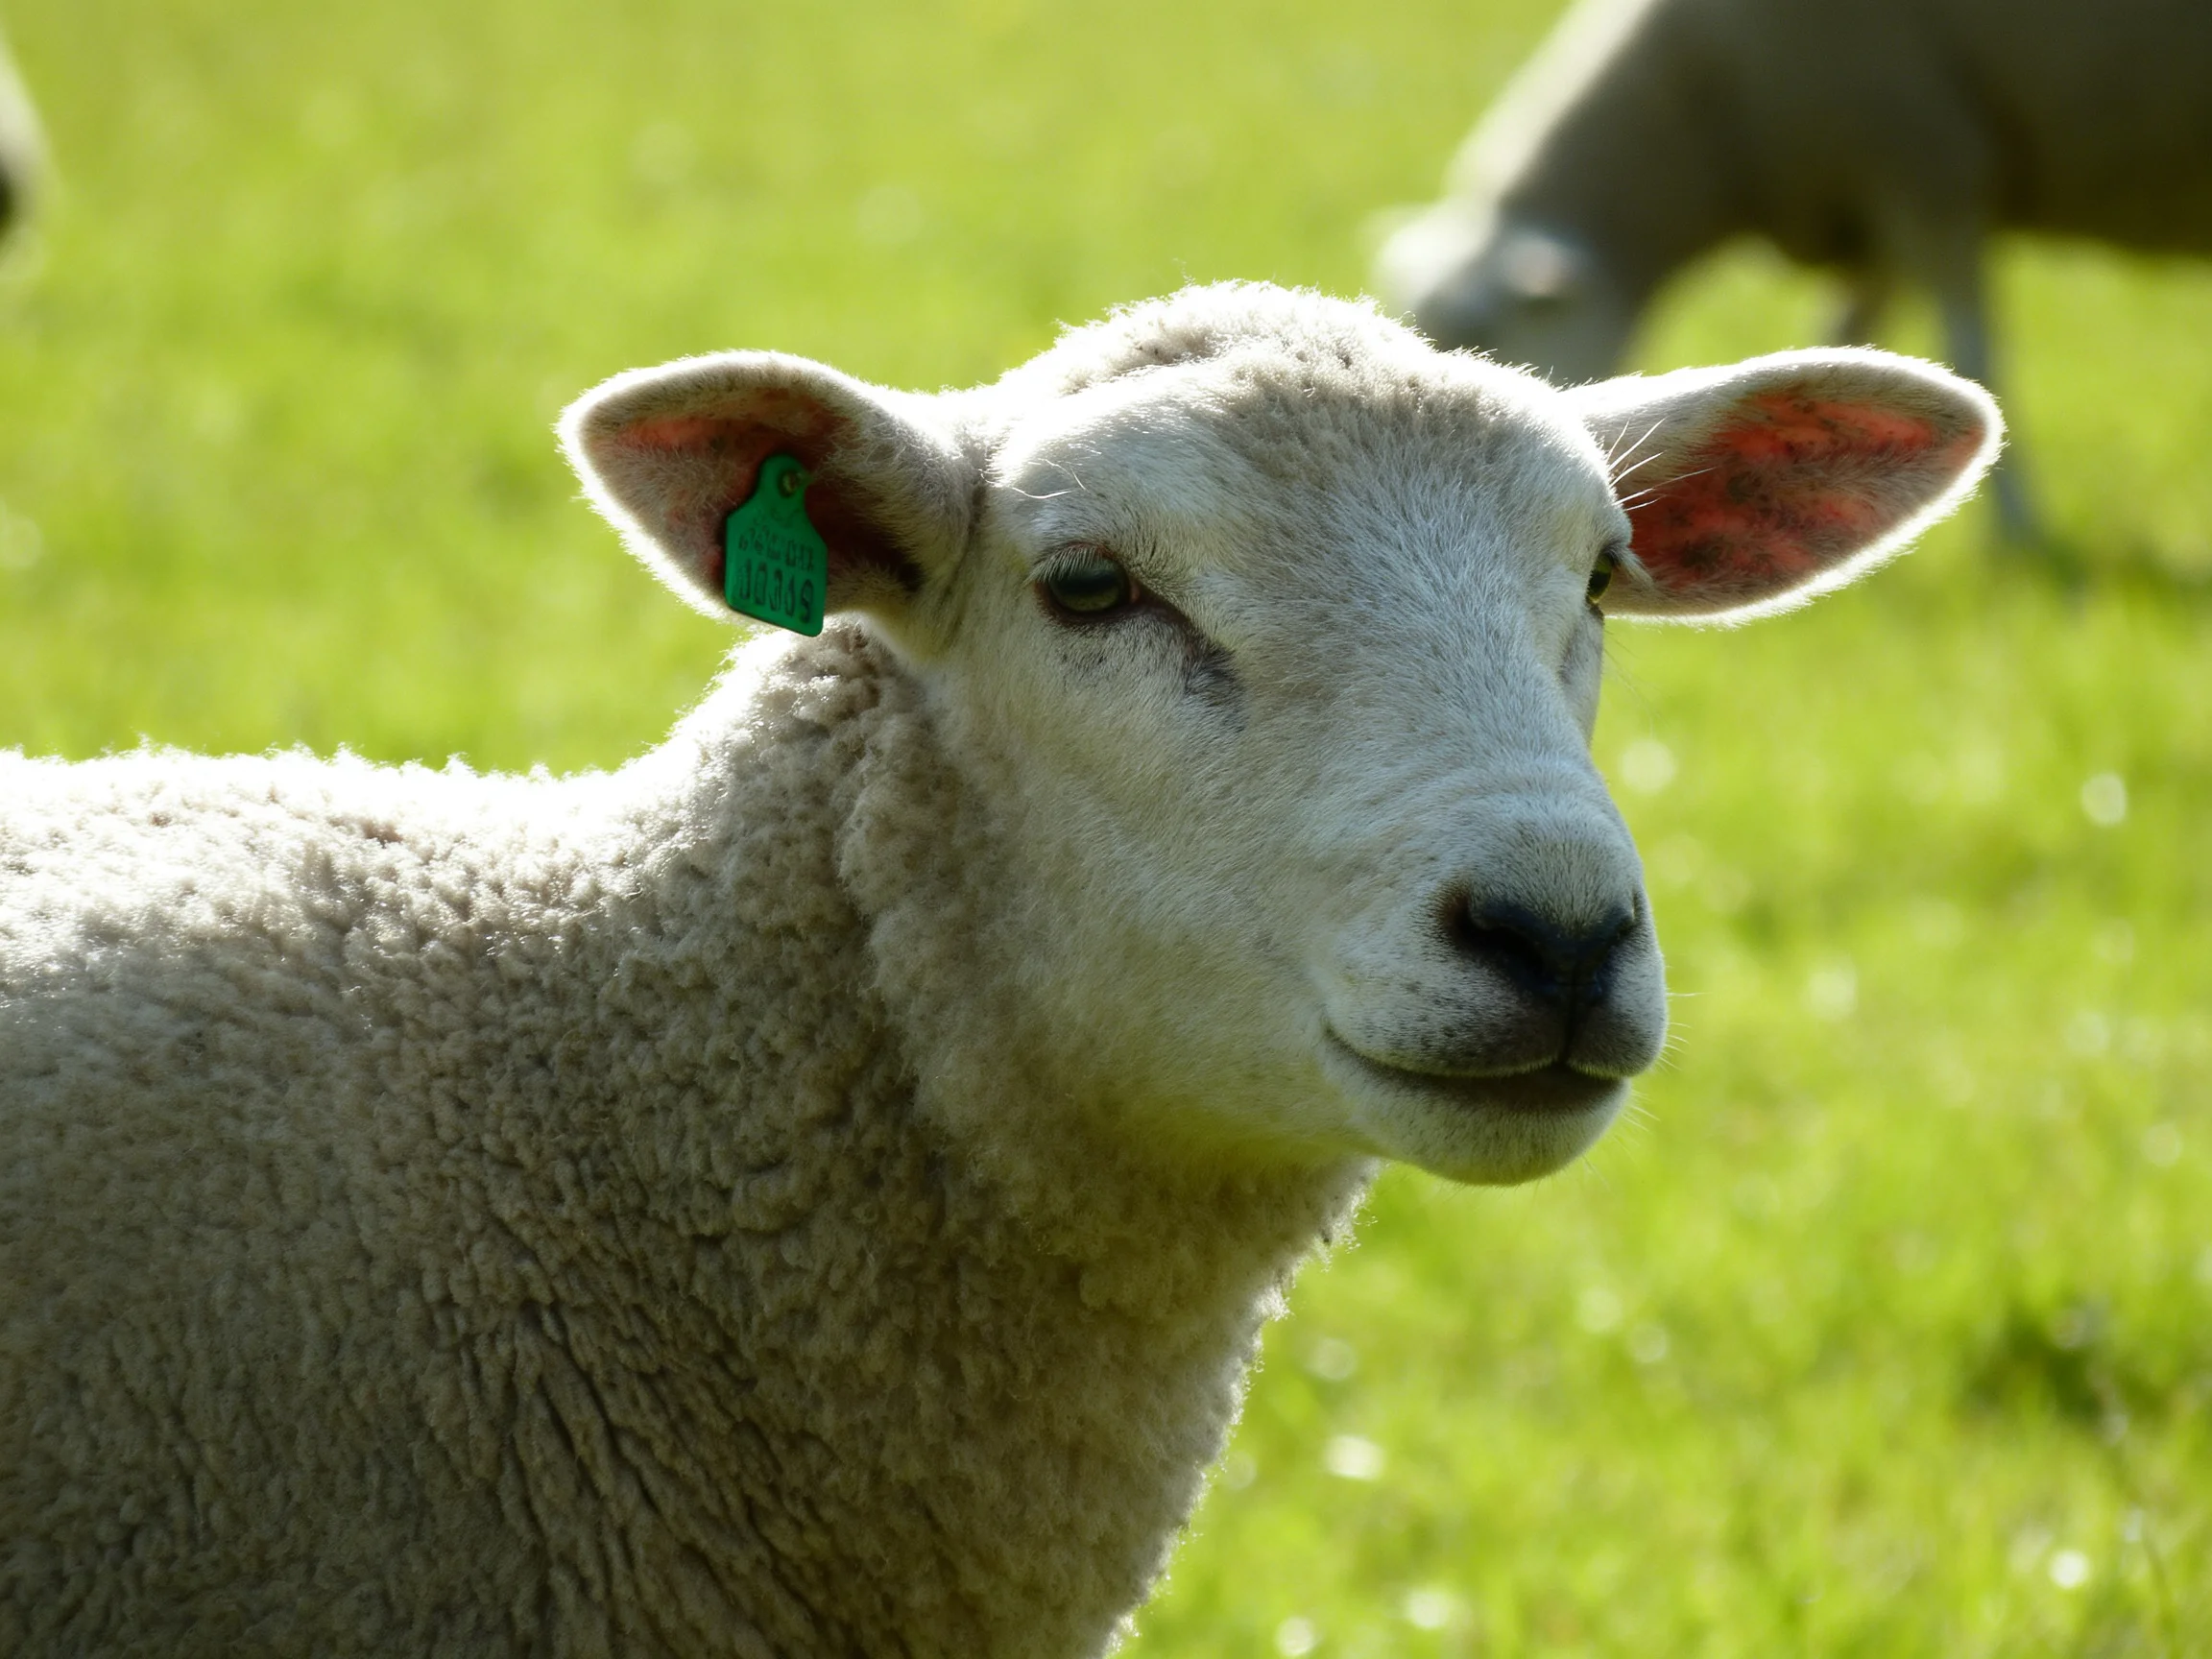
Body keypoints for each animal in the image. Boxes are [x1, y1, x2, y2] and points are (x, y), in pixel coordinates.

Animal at [1372, 0, 2212, 545]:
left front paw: (2018, 533)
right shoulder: (1867, 204)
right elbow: (1849, 336)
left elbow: (1973, 354)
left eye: (1486, 334)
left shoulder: (1926, 161)